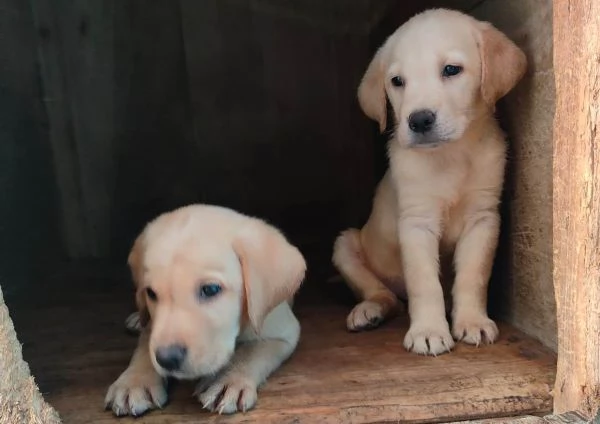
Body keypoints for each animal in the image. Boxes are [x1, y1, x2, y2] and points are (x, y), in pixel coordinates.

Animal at [103, 204, 308, 416]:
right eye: (151, 293)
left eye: (210, 289)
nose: (167, 359)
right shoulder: (154, 329)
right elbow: (145, 348)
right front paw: (134, 382)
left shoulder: (282, 332)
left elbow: (251, 352)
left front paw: (228, 381)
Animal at [332, 8, 524, 356]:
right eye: (397, 81)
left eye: (451, 70)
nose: (419, 120)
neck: (451, 156)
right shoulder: (416, 222)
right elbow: (425, 283)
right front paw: (428, 331)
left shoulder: (483, 218)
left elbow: (473, 276)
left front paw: (472, 321)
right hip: (345, 245)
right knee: (387, 296)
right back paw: (369, 311)